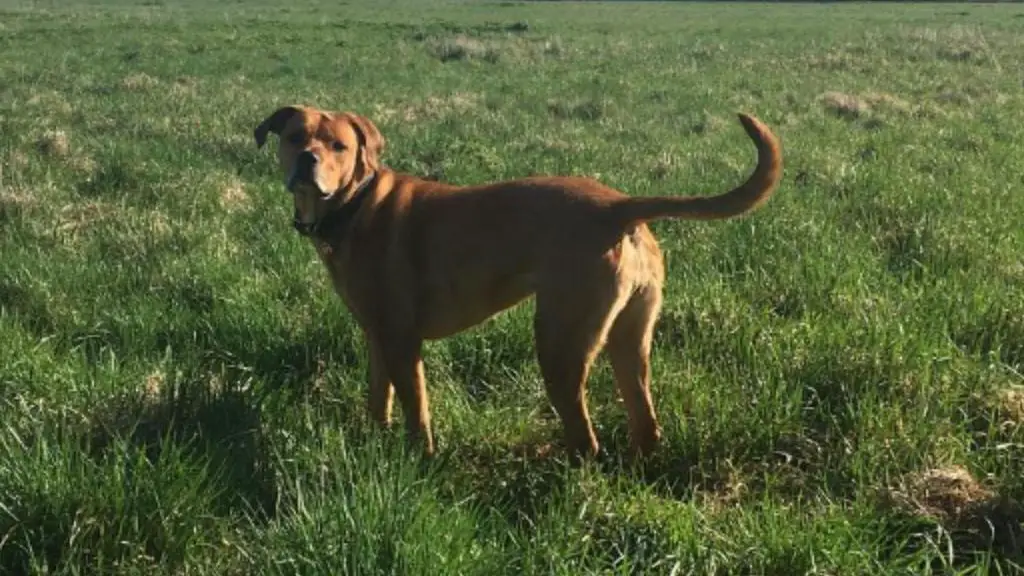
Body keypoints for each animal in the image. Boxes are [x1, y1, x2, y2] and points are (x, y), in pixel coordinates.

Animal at [256, 105, 782, 459]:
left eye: (338, 147)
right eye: (296, 137)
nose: (307, 161)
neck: (355, 204)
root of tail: (620, 206)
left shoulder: (402, 341)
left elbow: (415, 411)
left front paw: (419, 460)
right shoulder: (377, 335)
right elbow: (377, 397)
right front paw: (375, 441)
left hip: (560, 342)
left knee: (584, 436)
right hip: (629, 337)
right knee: (644, 421)